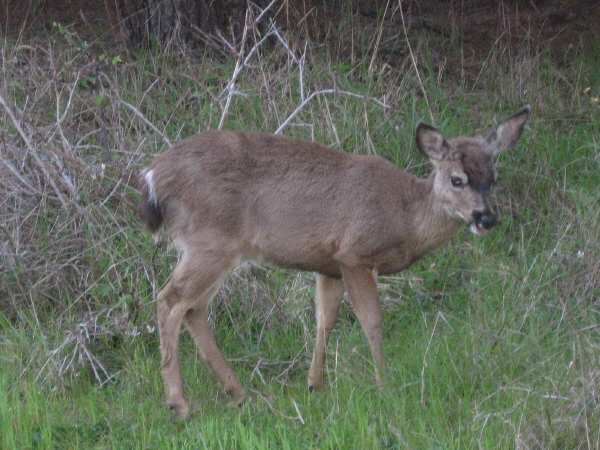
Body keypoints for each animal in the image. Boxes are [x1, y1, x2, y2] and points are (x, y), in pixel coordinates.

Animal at [139, 105, 528, 418]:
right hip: (211, 241)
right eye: (456, 179)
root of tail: (153, 177)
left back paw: (237, 393)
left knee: (193, 308)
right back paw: (180, 404)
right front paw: (385, 384)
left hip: (211, 248)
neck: (405, 216)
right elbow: (372, 321)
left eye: (494, 178)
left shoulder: (330, 265)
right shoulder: (355, 252)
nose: (486, 218)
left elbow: (324, 320)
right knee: (171, 300)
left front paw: (316, 385)